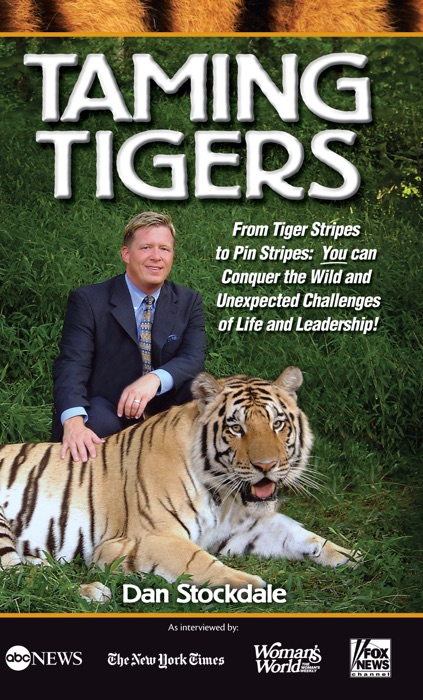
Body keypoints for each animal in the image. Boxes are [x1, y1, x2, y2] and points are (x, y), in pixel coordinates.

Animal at [0, 366, 359, 602]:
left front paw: (350, 555)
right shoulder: (144, 539)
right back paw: (92, 591)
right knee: (16, 580)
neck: (225, 495)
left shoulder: (244, 529)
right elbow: (200, 562)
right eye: (236, 428)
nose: (266, 467)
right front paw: (257, 587)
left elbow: (301, 534)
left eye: (278, 424)